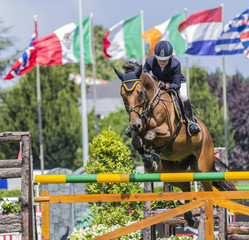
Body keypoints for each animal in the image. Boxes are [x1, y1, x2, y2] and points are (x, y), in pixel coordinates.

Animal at [114, 61, 236, 227]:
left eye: (140, 93)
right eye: (122, 95)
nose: (135, 124)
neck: (150, 106)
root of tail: (207, 135)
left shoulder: (167, 132)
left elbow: (150, 135)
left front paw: (150, 157)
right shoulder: (137, 131)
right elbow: (137, 142)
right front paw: (150, 160)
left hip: (202, 167)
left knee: (207, 187)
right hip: (171, 171)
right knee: (185, 185)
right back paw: (191, 219)